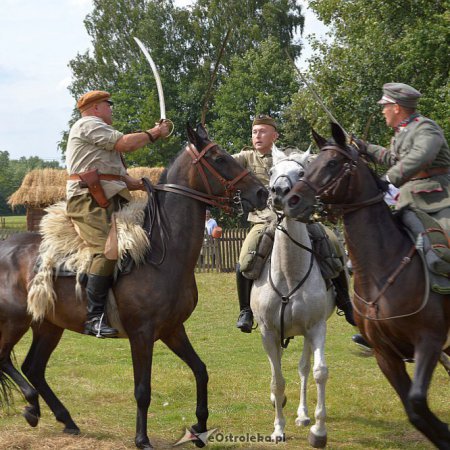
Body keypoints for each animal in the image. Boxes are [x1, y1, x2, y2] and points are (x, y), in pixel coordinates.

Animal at [0, 124, 268, 450]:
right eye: (218, 157)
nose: (262, 192)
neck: (161, 251)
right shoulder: (141, 334)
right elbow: (143, 389)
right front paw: (142, 438)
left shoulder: (172, 329)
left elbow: (201, 371)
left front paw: (199, 427)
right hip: (15, 321)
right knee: (5, 360)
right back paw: (31, 405)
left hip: (48, 325)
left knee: (34, 368)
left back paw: (65, 419)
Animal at [251, 148, 336, 446]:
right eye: (272, 171)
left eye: (302, 172)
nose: (279, 192)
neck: (289, 272)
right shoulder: (267, 332)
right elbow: (277, 380)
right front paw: (278, 429)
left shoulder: (317, 327)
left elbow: (319, 372)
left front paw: (319, 430)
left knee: (303, 368)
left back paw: (303, 414)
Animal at [284, 122, 450, 446]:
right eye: (312, 164)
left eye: (332, 163)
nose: (291, 201)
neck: (383, 268)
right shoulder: (386, 355)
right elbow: (413, 409)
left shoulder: (429, 341)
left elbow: (417, 402)